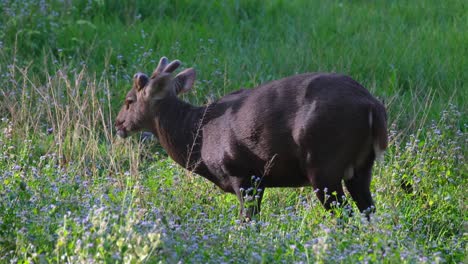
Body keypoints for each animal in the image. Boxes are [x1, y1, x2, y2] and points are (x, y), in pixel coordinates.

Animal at [116, 56, 388, 220]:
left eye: (129, 100)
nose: (119, 124)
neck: (199, 136)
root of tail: (371, 105)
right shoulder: (258, 179)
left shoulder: (241, 173)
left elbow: (247, 222)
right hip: (361, 166)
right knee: (369, 211)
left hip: (324, 162)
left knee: (345, 214)